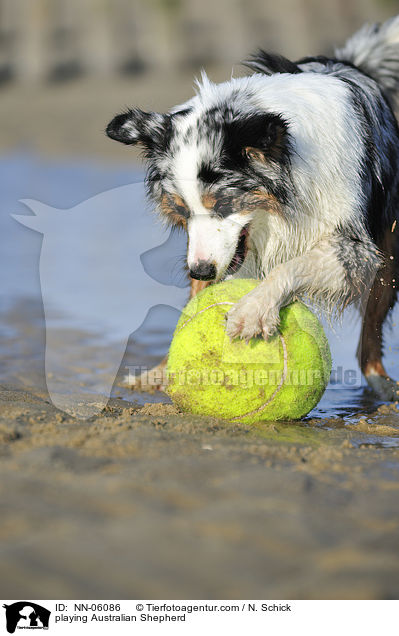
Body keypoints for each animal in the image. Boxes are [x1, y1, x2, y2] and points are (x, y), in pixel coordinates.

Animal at [107, 17, 399, 400]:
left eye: (223, 203)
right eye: (183, 209)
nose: (200, 271)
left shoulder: (355, 247)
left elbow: (292, 266)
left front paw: (254, 309)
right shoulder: (205, 250)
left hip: (389, 250)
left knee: (374, 321)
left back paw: (380, 380)